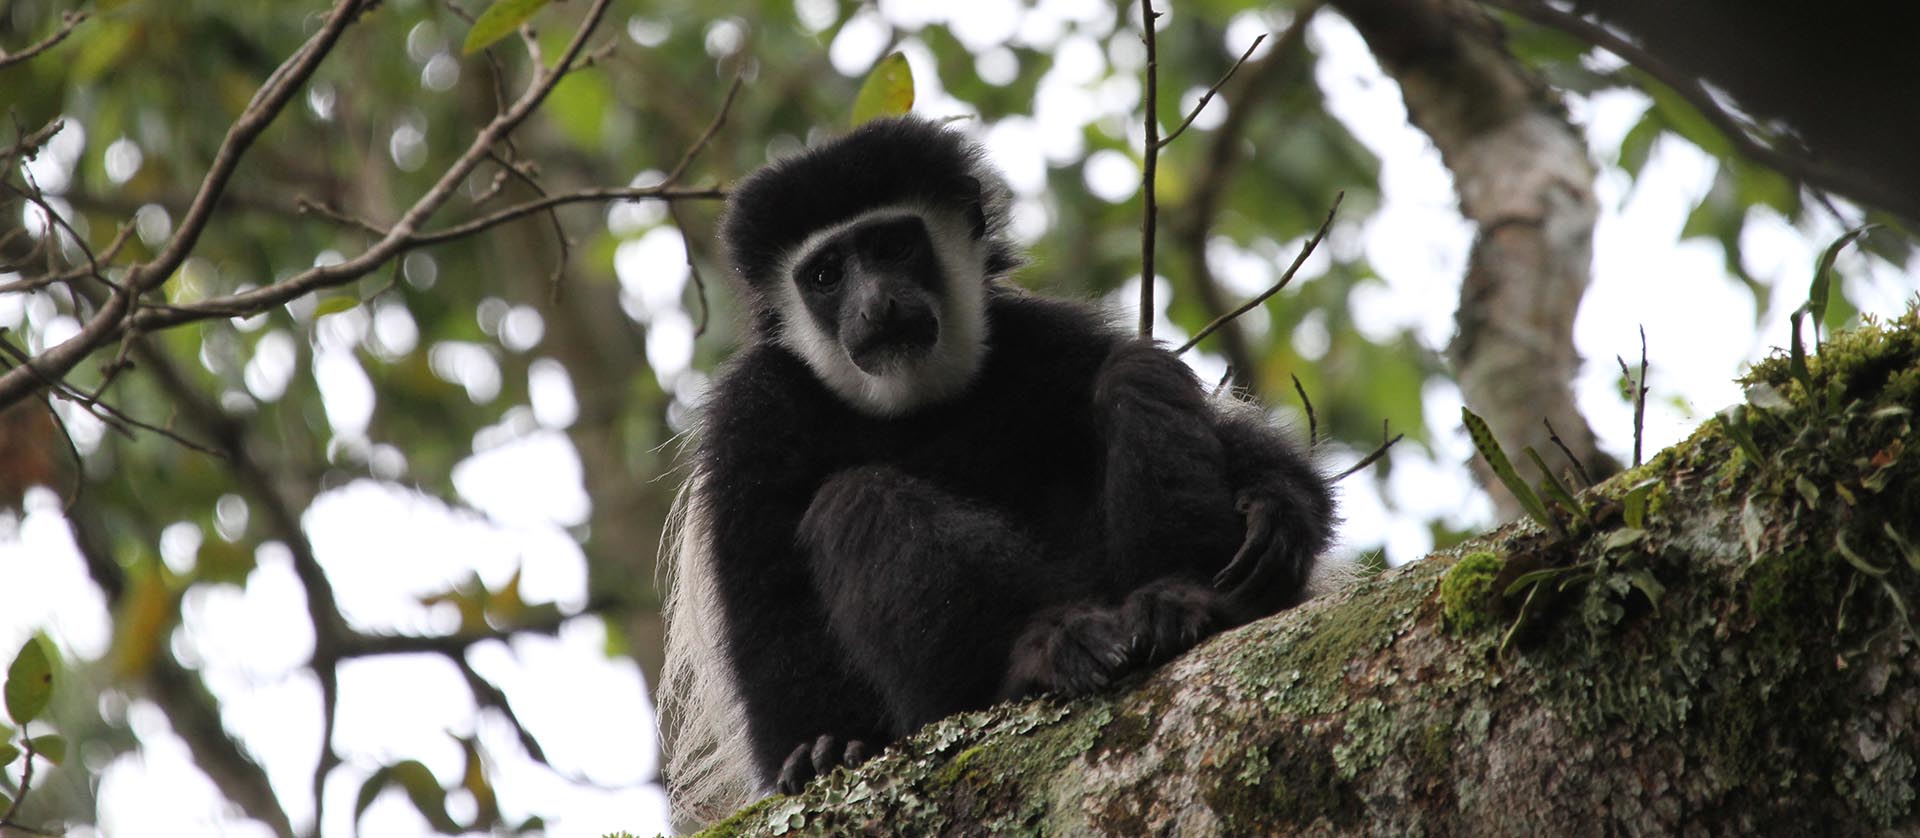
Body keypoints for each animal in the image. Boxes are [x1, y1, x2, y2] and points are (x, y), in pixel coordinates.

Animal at [660, 114, 1336, 822]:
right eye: (825, 275)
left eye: (893, 245)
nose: (877, 304)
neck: (914, 407)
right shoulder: (750, 421)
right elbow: (764, 599)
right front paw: (822, 749)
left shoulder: (1040, 334)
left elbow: (1233, 440)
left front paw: (1276, 509)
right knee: (856, 502)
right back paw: (1046, 652)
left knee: (1135, 373)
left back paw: (1179, 605)